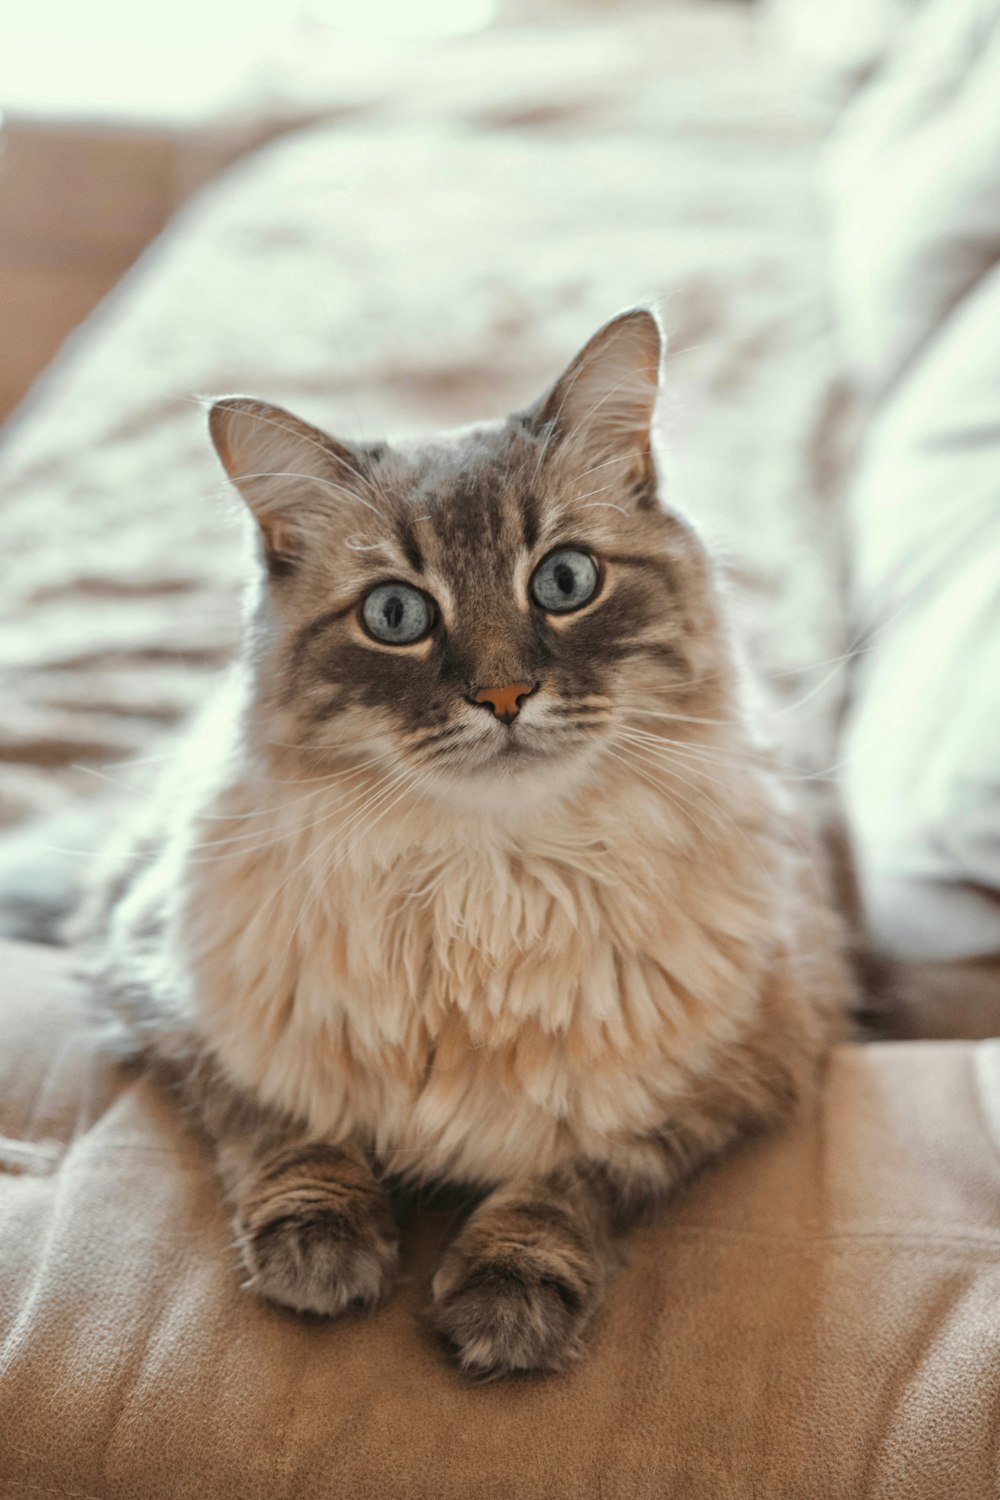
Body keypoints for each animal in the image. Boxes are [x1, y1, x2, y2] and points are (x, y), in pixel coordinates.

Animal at [91, 310, 851, 1374]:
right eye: (395, 615)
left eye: (565, 582)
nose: (502, 697)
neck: (486, 882)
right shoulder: (177, 1009)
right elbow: (290, 1132)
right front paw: (323, 1254)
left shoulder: (735, 1073)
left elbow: (572, 1174)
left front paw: (507, 1301)